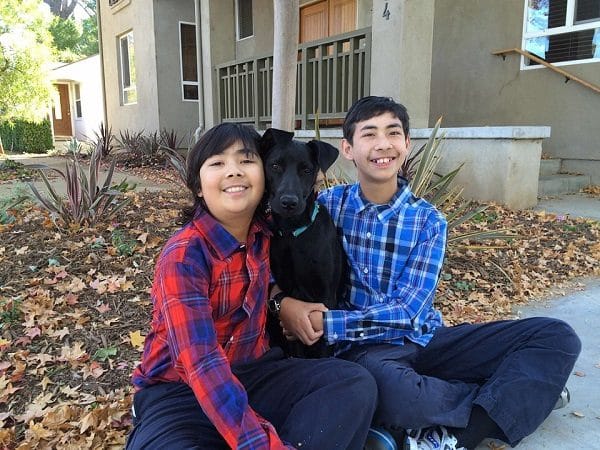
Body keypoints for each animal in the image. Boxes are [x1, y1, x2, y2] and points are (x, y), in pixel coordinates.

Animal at [258, 127, 346, 358]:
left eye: (307, 170)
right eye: (275, 166)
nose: (289, 202)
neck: (293, 234)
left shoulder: (326, 299)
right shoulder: (290, 298)